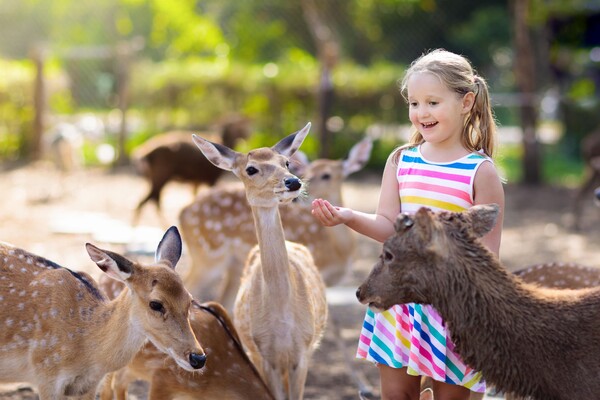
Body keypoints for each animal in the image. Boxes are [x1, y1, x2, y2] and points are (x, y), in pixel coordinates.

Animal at [180, 136, 372, 308]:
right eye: (308, 172)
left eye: (327, 175)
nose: (296, 183)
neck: (340, 250)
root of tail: (183, 212)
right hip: (207, 255)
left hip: (233, 265)